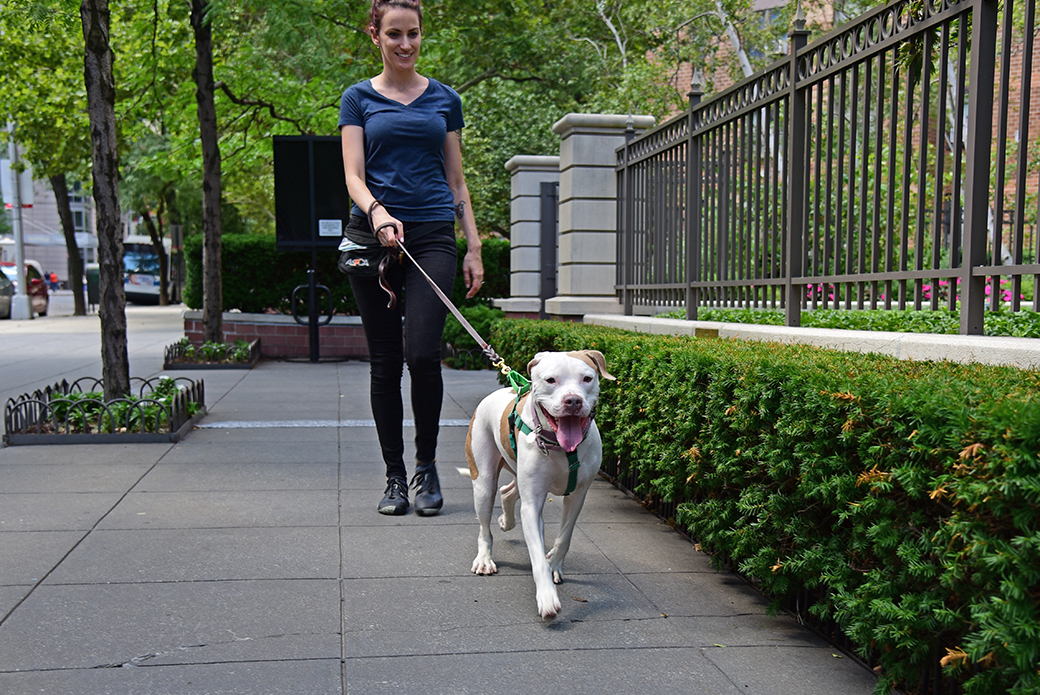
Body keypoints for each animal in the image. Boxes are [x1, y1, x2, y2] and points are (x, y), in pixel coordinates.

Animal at [465, 349, 615, 615]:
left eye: (587, 378)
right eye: (551, 380)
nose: (573, 401)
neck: (562, 448)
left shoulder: (577, 495)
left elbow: (564, 536)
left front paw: (554, 562)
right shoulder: (532, 504)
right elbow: (536, 553)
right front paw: (546, 596)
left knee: (507, 491)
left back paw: (506, 521)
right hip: (483, 481)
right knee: (485, 525)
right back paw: (484, 559)